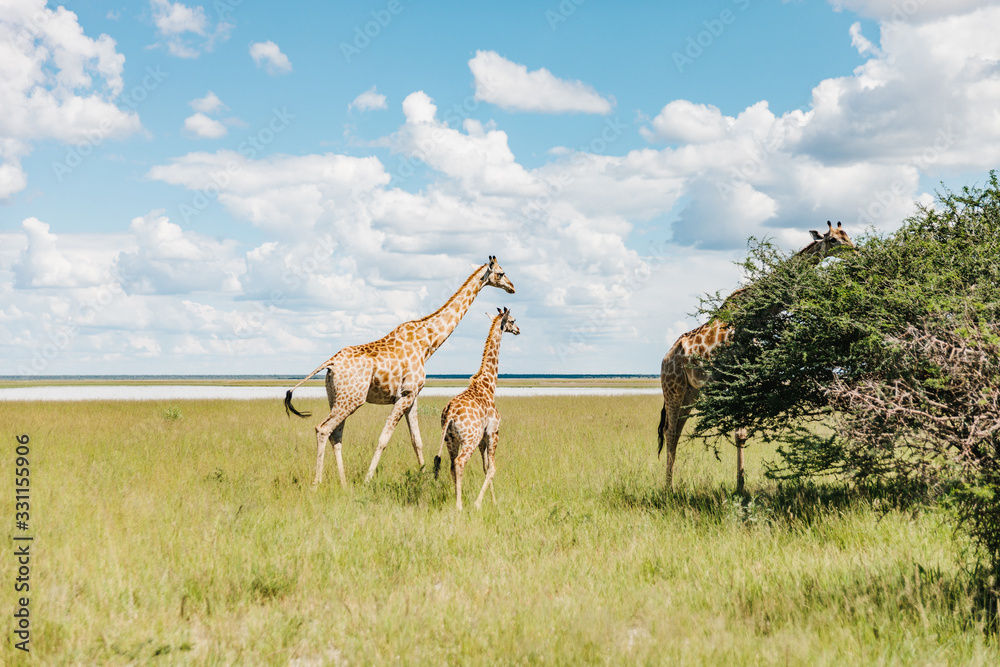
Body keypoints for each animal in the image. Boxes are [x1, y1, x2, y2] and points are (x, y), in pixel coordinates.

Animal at [285, 256, 515, 488]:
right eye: (501, 273)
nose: (512, 287)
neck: (427, 343)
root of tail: (330, 363)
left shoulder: (412, 397)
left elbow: (417, 441)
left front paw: (425, 478)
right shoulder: (405, 395)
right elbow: (383, 439)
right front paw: (367, 480)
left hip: (336, 397)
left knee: (336, 434)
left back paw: (343, 483)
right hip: (352, 399)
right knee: (323, 429)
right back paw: (317, 483)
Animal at [432, 307, 519, 511]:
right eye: (512, 320)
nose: (518, 330)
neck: (488, 385)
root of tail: (449, 413)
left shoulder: (483, 437)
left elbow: (485, 467)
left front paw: (493, 501)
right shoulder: (493, 431)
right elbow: (492, 468)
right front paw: (479, 503)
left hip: (450, 440)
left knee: (451, 465)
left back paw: (456, 499)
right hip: (469, 439)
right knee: (459, 462)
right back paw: (459, 505)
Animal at [658, 221, 854, 493]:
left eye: (847, 235)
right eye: (833, 239)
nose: (855, 250)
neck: (754, 316)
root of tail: (665, 359)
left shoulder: (744, 377)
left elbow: (741, 434)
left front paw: (741, 486)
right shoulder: (732, 377)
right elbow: (738, 432)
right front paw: (740, 488)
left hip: (691, 391)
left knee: (675, 431)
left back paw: (671, 486)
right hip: (673, 388)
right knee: (669, 431)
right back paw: (668, 489)